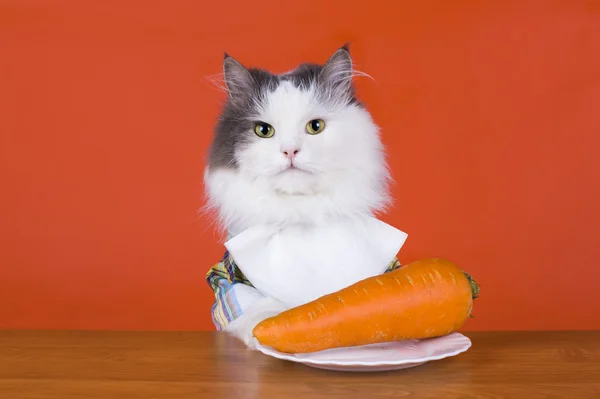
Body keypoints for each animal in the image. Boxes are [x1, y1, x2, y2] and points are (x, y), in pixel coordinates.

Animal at [204, 45, 392, 348]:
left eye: (315, 126)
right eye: (263, 131)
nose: (290, 151)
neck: (299, 217)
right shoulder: (226, 275)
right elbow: (255, 307)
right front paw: (265, 331)